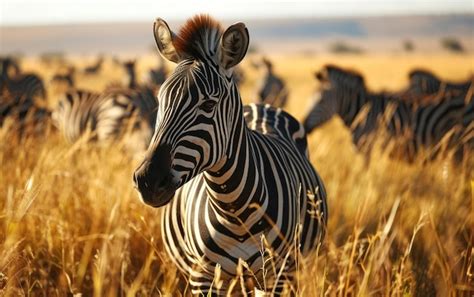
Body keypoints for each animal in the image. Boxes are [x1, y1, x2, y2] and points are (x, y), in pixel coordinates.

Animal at [131, 14, 328, 294]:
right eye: (160, 101)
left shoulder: (276, 274)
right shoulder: (202, 275)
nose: (147, 180)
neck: (233, 209)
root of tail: (262, 106)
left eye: (208, 105)